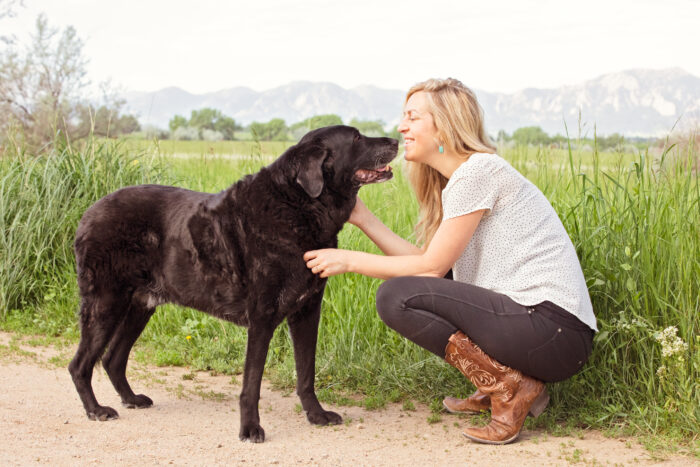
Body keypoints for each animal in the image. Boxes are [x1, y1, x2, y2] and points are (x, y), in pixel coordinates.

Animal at [69, 124, 400, 442]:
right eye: (356, 138)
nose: (397, 140)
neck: (298, 205)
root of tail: (88, 213)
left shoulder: (307, 312)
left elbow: (307, 372)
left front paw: (316, 415)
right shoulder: (262, 317)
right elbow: (251, 384)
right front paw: (250, 429)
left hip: (140, 306)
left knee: (112, 359)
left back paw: (131, 399)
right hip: (105, 303)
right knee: (80, 364)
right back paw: (96, 410)